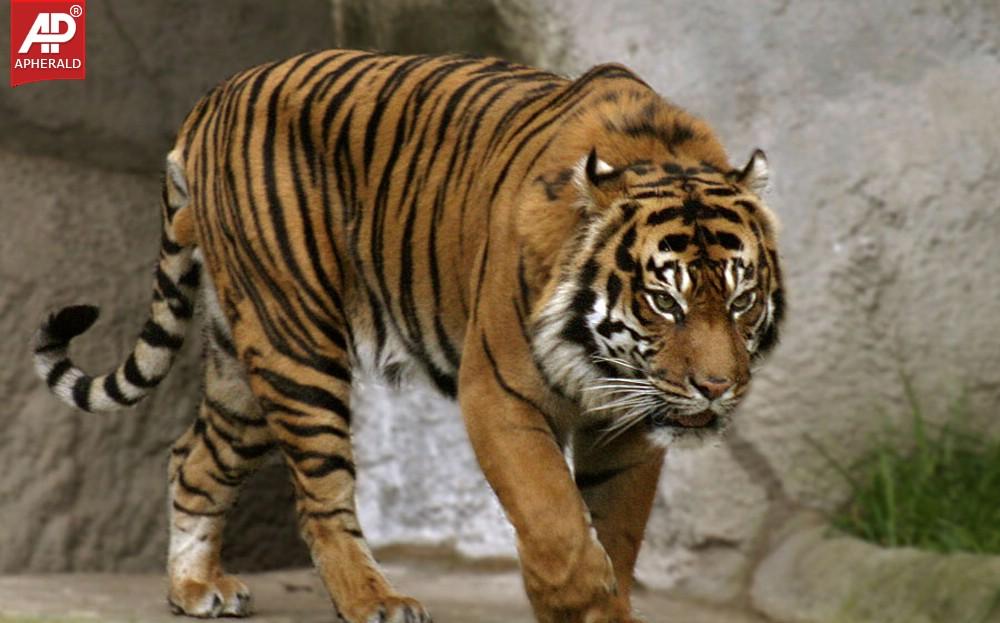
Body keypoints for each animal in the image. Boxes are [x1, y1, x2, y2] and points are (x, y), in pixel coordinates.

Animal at [32, 50, 784, 623]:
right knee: (321, 494)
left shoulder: (627, 421)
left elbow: (615, 531)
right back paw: (374, 600)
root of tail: (211, 101)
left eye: (742, 300)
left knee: (193, 456)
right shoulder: (501, 393)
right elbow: (557, 524)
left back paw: (194, 587)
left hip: (241, 359)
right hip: (295, 342)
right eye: (664, 302)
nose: (716, 388)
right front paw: (581, 601)